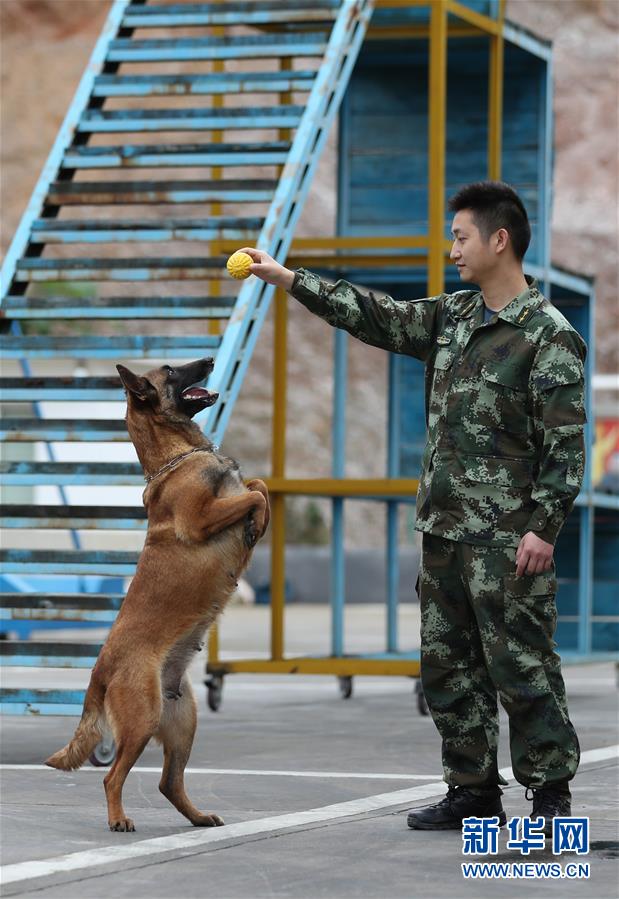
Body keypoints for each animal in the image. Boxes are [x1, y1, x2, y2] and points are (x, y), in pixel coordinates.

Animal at [47, 356, 270, 832]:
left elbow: (258, 485)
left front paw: (256, 522)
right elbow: (254, 498)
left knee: (169, 782)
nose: (208, 360)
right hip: (142, 720)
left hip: (183, 722)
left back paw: (199, 816)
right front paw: (254, 524)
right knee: (112, 776)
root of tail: (100, 671)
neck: (176, 457)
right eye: (169, 369)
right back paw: (119, 819)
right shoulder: (202, 518)